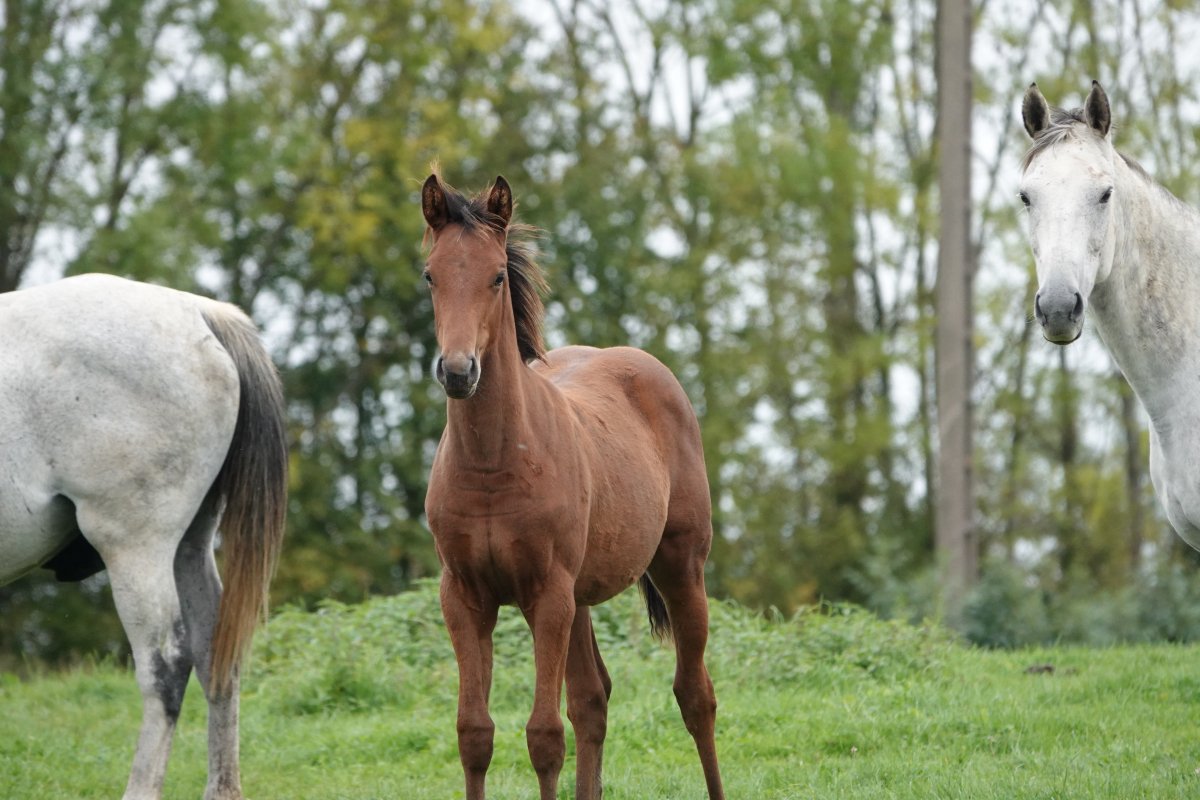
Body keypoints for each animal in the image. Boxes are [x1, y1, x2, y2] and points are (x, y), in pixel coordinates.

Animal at [420, 173, 725, 800]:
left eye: (496, 275)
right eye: (430, 274)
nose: (458, 372)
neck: (494, 467)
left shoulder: (548, 595)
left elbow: (543, 736)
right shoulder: (463, 596)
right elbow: (474, 732)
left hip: (680, 567)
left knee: (695, 696)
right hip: (583, 596)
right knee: (592, 700)